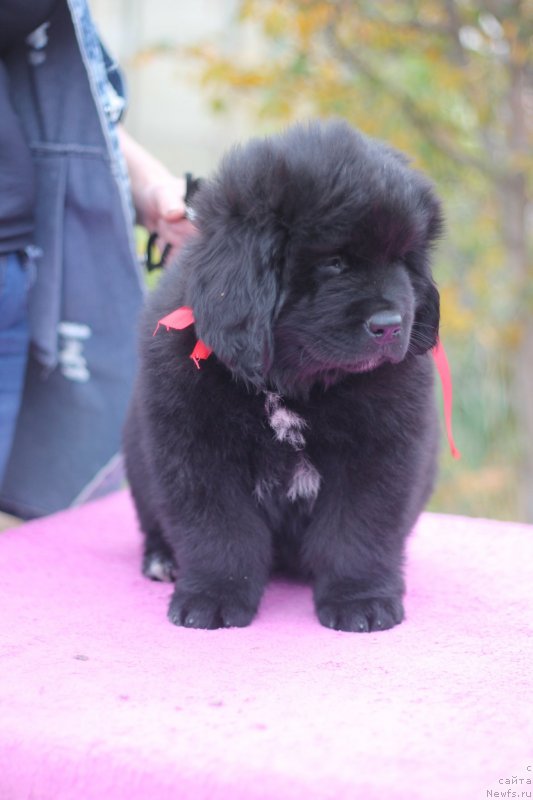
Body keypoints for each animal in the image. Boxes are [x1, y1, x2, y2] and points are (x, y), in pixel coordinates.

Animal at [123, 119, 440, 632]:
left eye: (402, 259)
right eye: (335, 263)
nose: (392, 325)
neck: (288, 381)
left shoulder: (379, 449)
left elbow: (359, 529)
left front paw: (361, 600)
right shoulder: (196, 449)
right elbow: (219, 531)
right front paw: (213, 597)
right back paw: (161, 560)